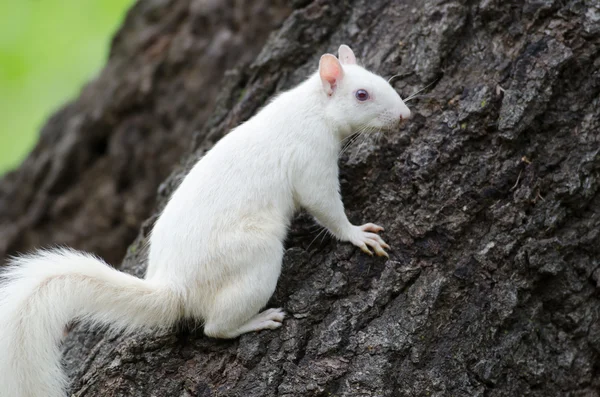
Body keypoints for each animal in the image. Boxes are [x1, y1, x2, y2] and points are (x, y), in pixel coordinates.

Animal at [0, 44, 410, 394]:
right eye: (361, 95)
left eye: (382, 79)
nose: (406, 116)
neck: (312, 110)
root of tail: (174, 288)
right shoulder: (310, 160)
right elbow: (325, 206)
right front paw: (357, 234)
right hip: (254, 258)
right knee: (215, 328)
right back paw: (256, 320)